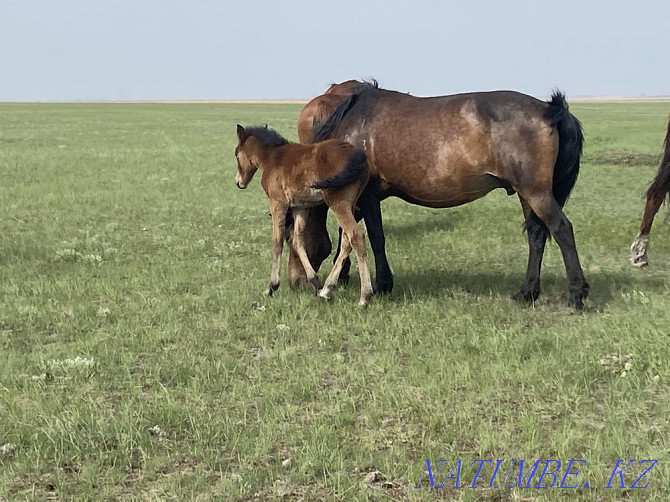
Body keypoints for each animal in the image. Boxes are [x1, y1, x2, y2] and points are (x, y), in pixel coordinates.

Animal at [234, 125, 376, 306]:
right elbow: (298, 240)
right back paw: (326, 290)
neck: (272, 158)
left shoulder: (277, 203)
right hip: (351, 202)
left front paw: (271, 287)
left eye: (236, 154)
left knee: (356, 235)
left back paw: (364, 297)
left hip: (338, 203)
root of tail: (356, 154)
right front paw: (315, 282)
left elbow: (276, 242)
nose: (239, 182)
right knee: (346, 239)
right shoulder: (300, 207)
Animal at [302, 80, 592, 308]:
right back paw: (527, 293)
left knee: (562, 229)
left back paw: (576, 294)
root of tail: (549, 109)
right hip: (527, 194)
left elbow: (373, 238)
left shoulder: (368, 196)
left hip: (536, 192)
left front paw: (381, 284)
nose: (299, 283)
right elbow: (350, 235)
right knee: (536, 234)